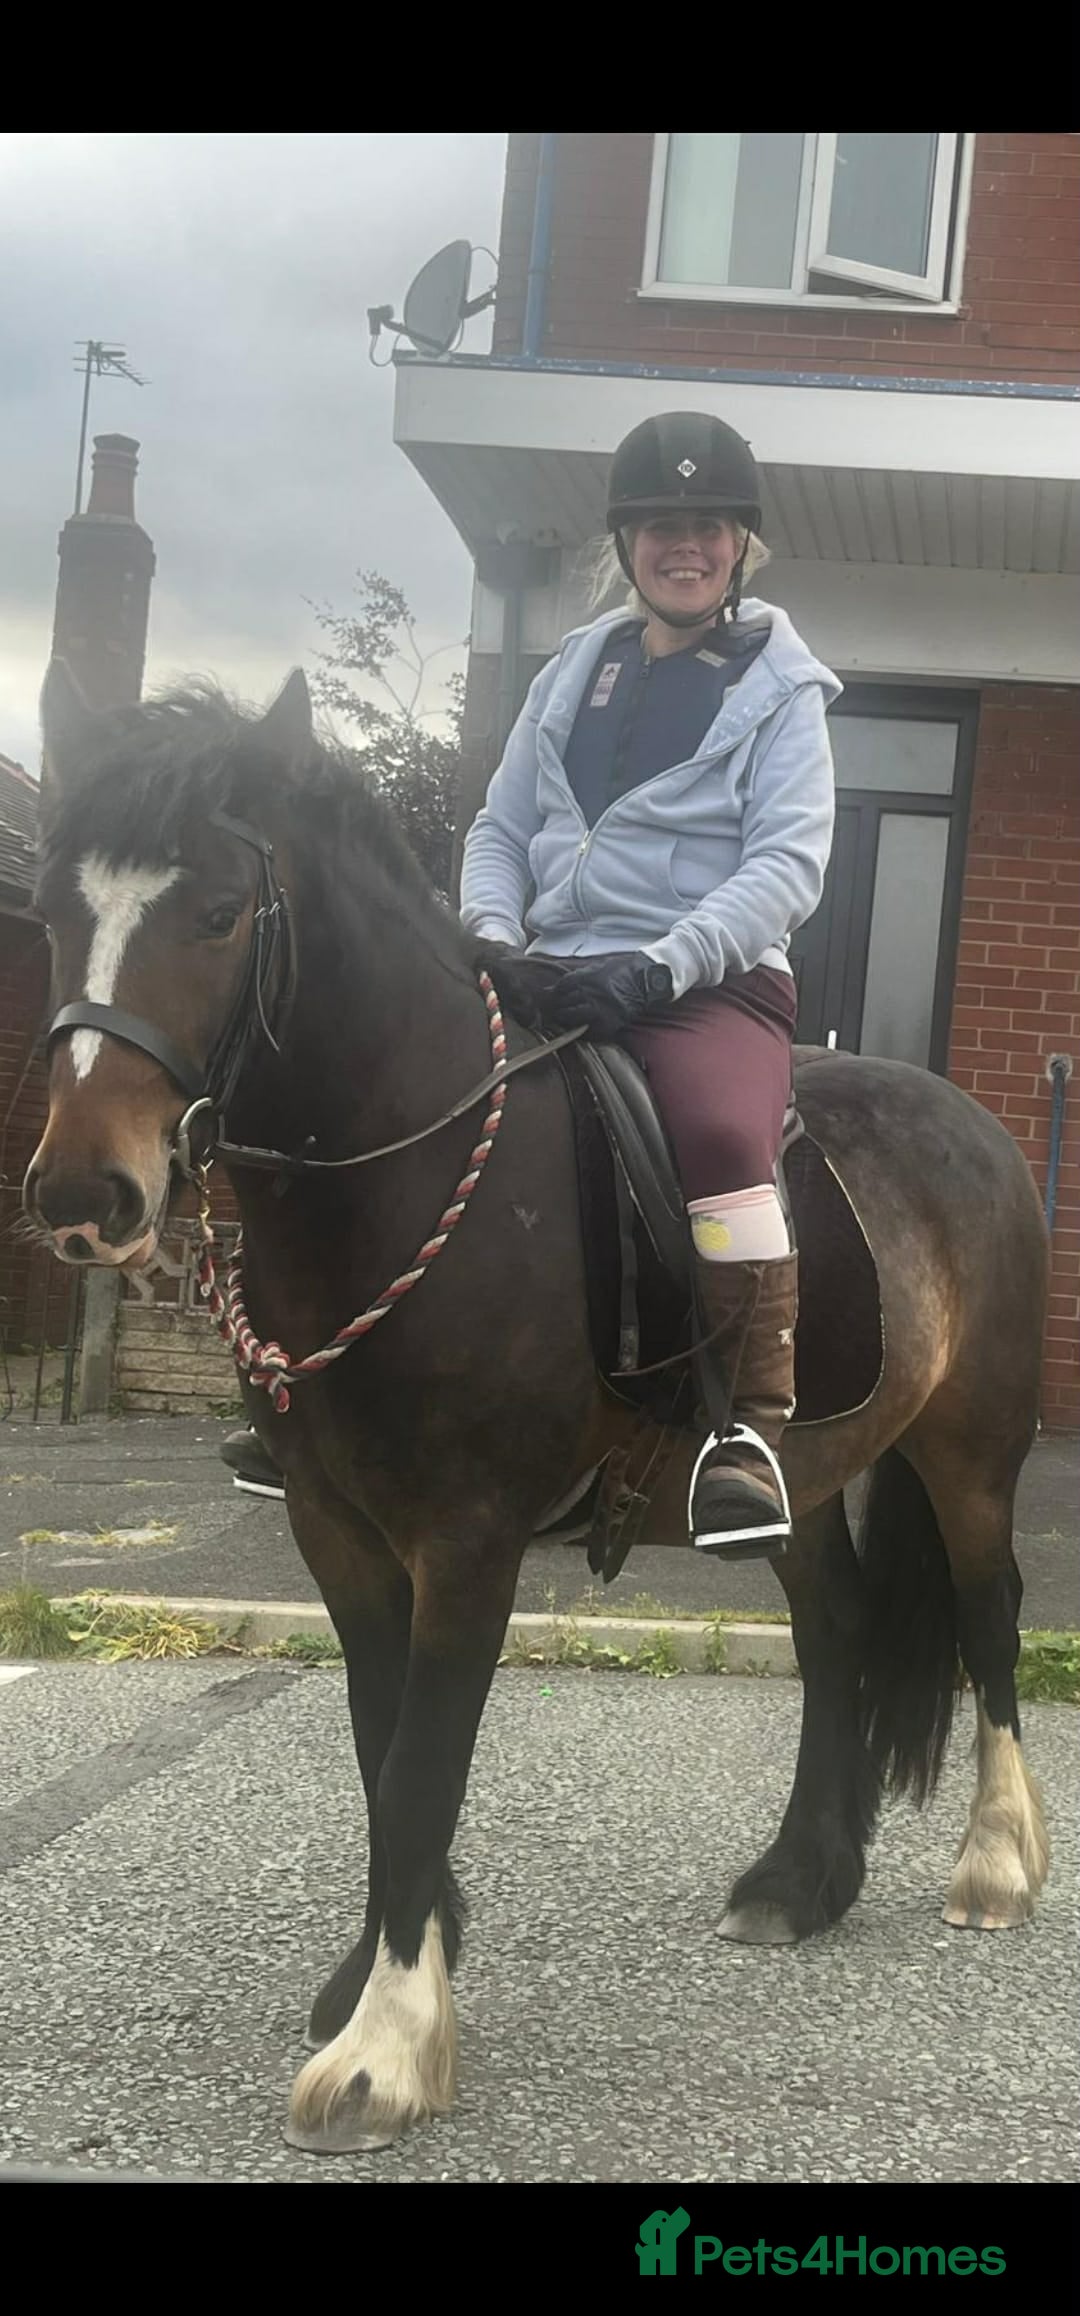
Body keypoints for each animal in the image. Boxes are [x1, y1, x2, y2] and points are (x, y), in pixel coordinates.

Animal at [25, 661, 1050, 2156]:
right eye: (55, 911)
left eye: (217, 911)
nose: (81, 1194)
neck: (409, 1168)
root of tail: (971, 1122)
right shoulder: (338, 1533)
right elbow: (378, 1741)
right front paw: (385, 1969)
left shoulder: (468, 1540)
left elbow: (421, 1762)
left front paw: (386, 2046)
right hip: (802, 1483)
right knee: (838, 1633)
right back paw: (801, 1878)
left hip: (969, 1455)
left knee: (986, 1619)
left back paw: (996, 1863)